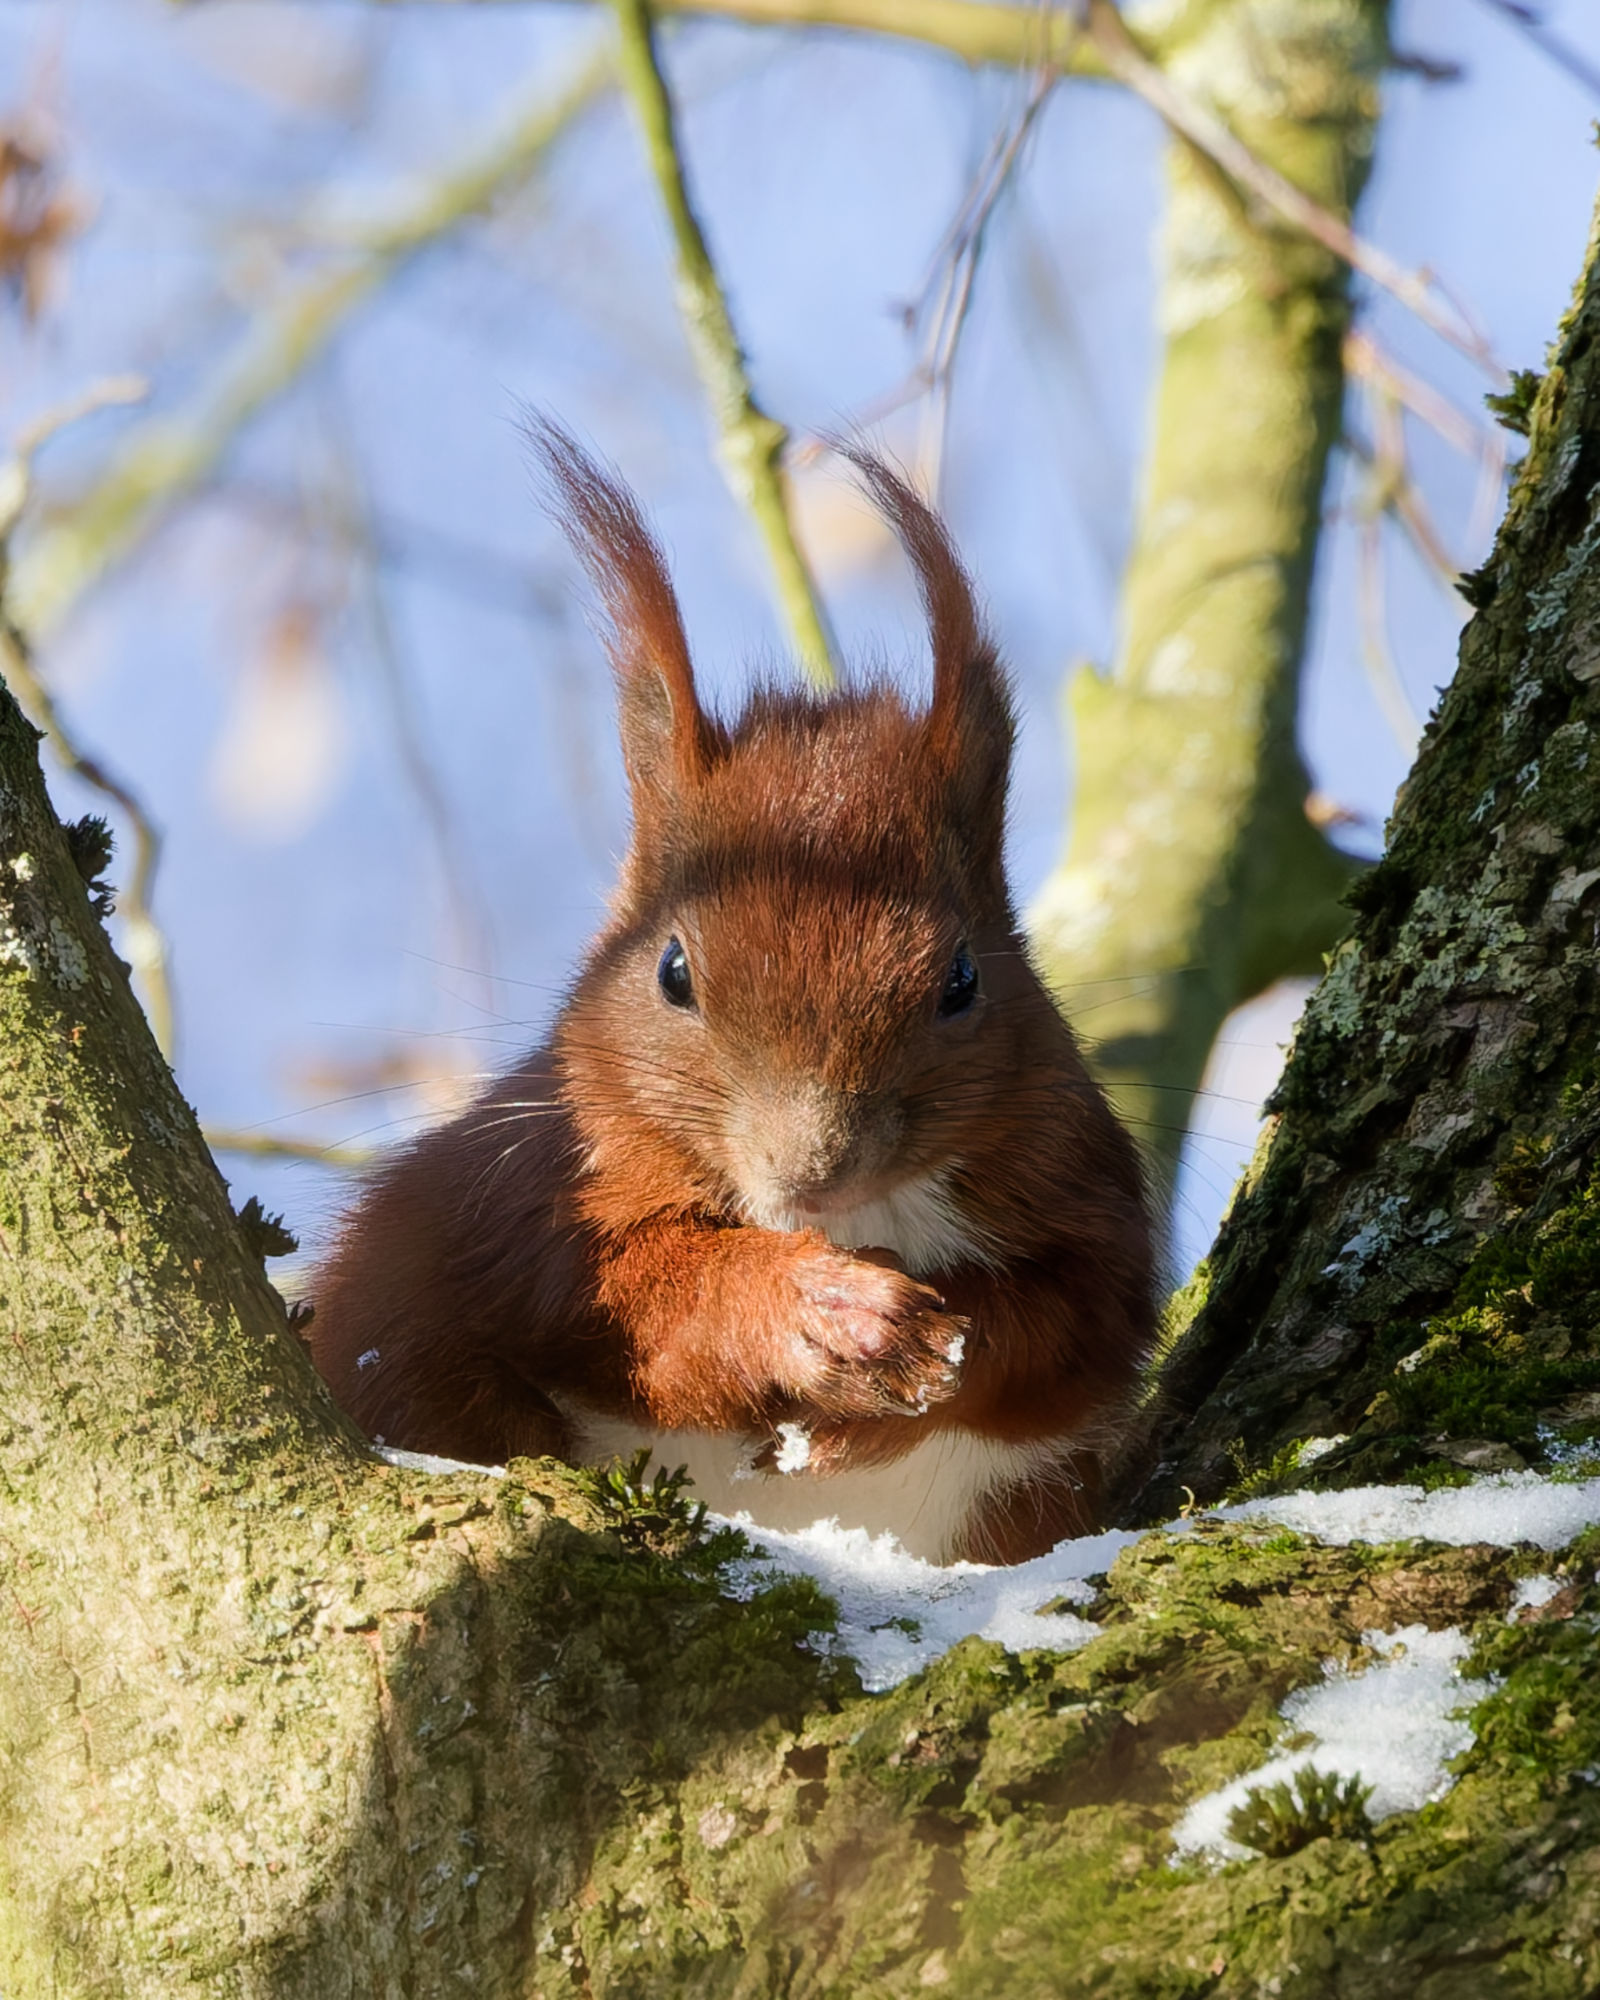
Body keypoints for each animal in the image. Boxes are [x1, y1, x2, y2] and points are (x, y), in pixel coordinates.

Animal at [309, 420, 1156, 1564]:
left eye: (964, 978)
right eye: (672, 970)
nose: (812, 1169)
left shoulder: (1091, 1195)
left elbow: (1071, 1324)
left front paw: (912, 1366)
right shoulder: (524, 1201)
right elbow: (636, 1304)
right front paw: (818, 1310)